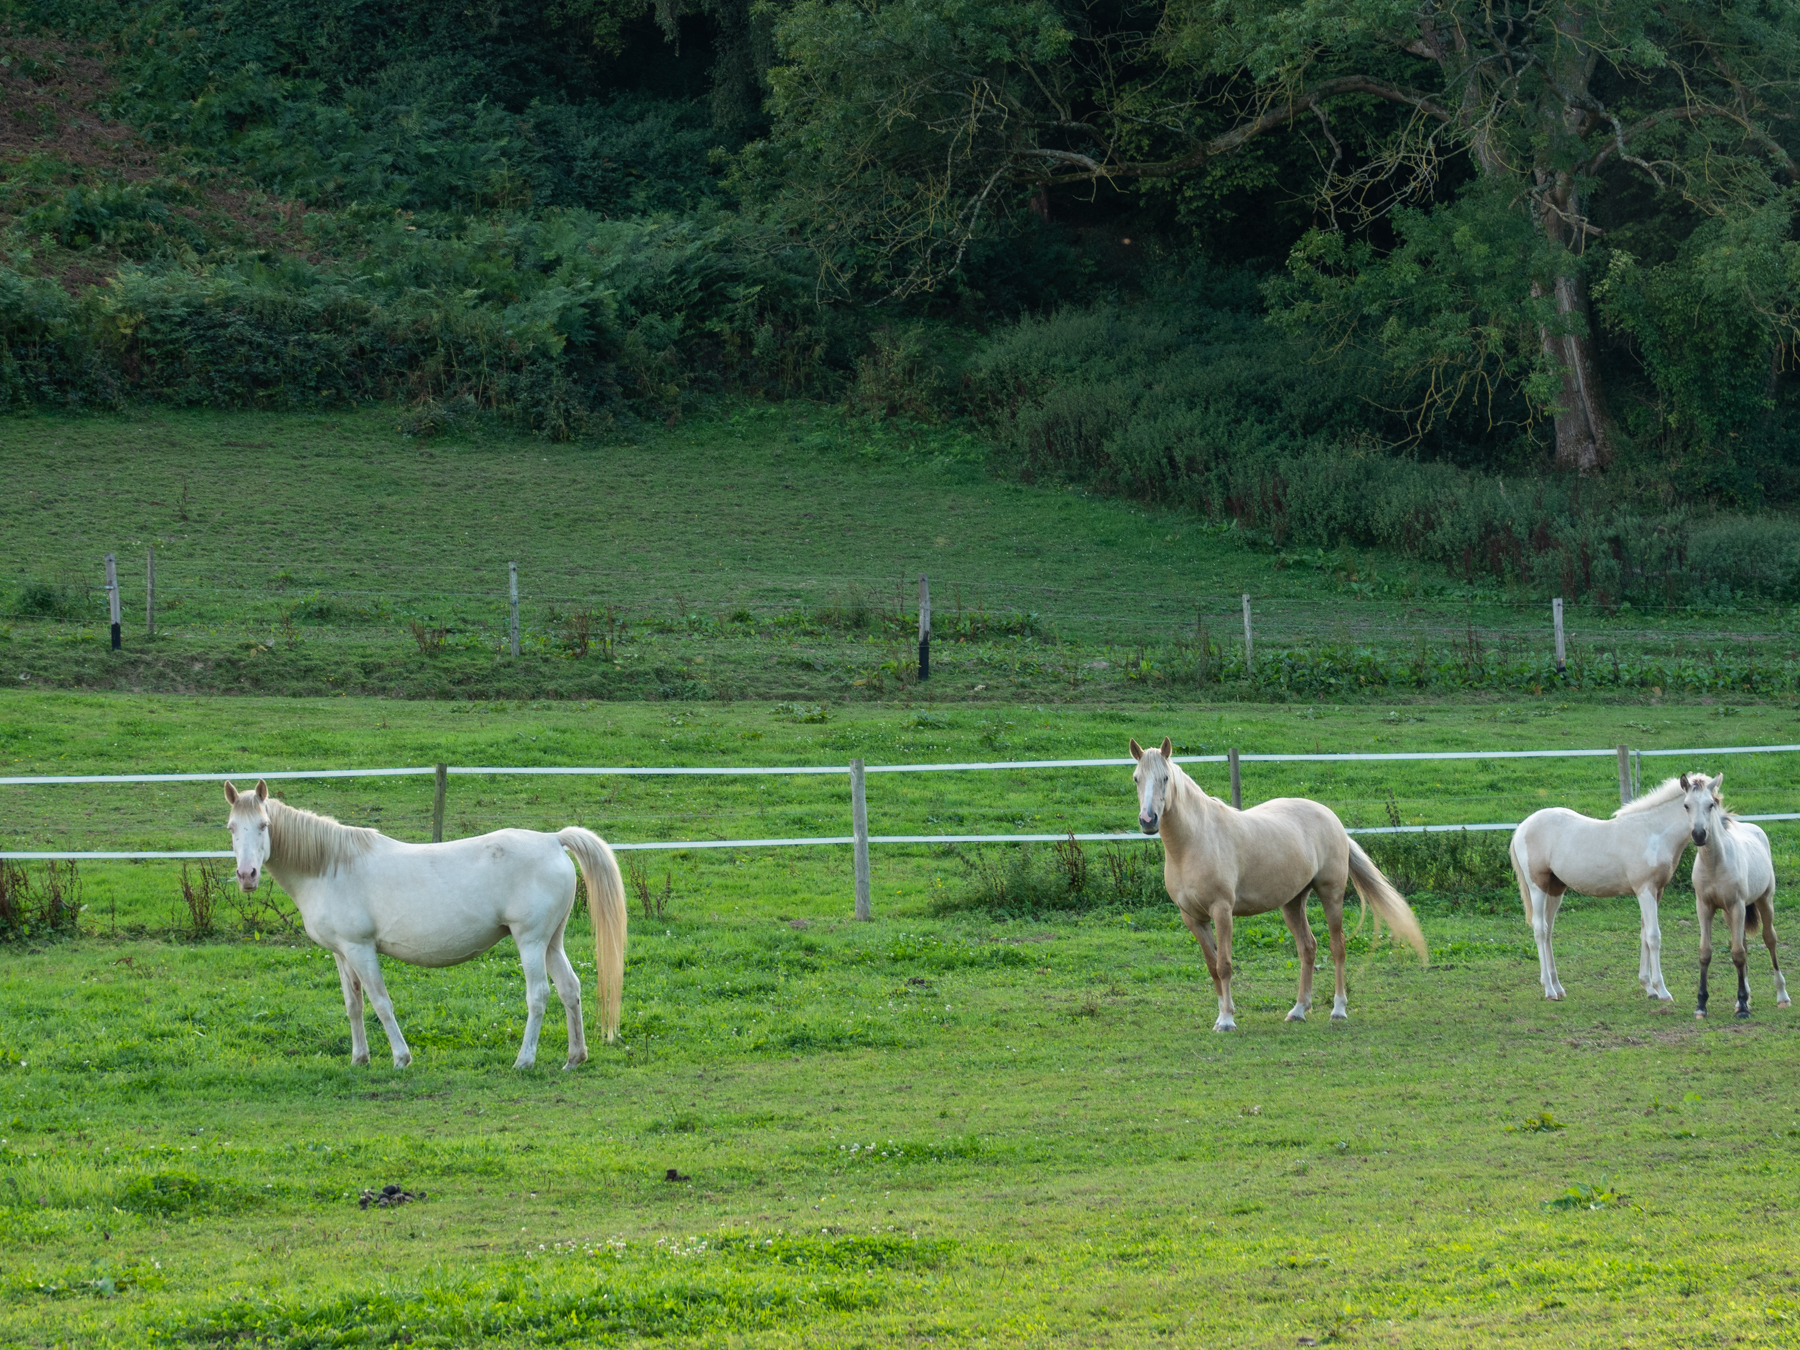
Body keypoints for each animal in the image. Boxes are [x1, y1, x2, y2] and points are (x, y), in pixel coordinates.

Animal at [223, 779, 627, 1069]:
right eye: (231, 827)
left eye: (264, 825)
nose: (247, 875)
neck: (330, 867)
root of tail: (553, 840)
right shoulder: (341, 953)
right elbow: (354, 1004)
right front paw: (359, 1059)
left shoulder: (360, 949)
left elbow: (380, 1002)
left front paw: (401, 1058)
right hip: (551, 942)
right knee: (570, 989)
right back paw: (574, 1058)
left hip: (530, 942)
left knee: (539, 995)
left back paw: (524, 1061)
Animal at [1128, 738, 1428, 1031]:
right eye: (1136, 778)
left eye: (1165, 777)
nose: (1148, 820)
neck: (1194, 841)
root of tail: (1332, 818)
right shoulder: (1192, 917)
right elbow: (1212, 966)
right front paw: (1220, 1016)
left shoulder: (1222, 911)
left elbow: (1224, 965)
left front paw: (1227, 1020)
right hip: (1293, 902)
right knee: (1308, 948)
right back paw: (1299, 1010)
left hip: (1331, 894)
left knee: (1337, 946)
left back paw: (1338, 1009)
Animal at [1508, 775, 1705, 1003]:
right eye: (1686, 805)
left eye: (1713, 803)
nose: (1701, 835)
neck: (1652, 832)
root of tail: (1522, 826)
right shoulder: (1645, 890)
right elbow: (1653, 936)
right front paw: (1662, 991)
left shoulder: (1656, 891)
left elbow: (1644, 934)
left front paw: (1649, 988)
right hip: (1537, 886)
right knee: (1540, 930)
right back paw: (1548, 989)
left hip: (1555, 888)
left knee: (1548, 930)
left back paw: (1558, 987)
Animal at [1685, 772, 1790, 1020]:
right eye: (1686, 805)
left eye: (1710, 804)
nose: (1699, 834)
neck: (1714, 864)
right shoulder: (1704, 907)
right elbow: (1706, 952)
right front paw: (1701, 1005)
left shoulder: (1738, 906)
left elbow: (1738, 954)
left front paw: (1742, 1007)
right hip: (1727, 913)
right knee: (1742, 942)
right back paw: (1747, 996)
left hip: (1764, 901)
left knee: (1769, 939)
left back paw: (1782, 996)